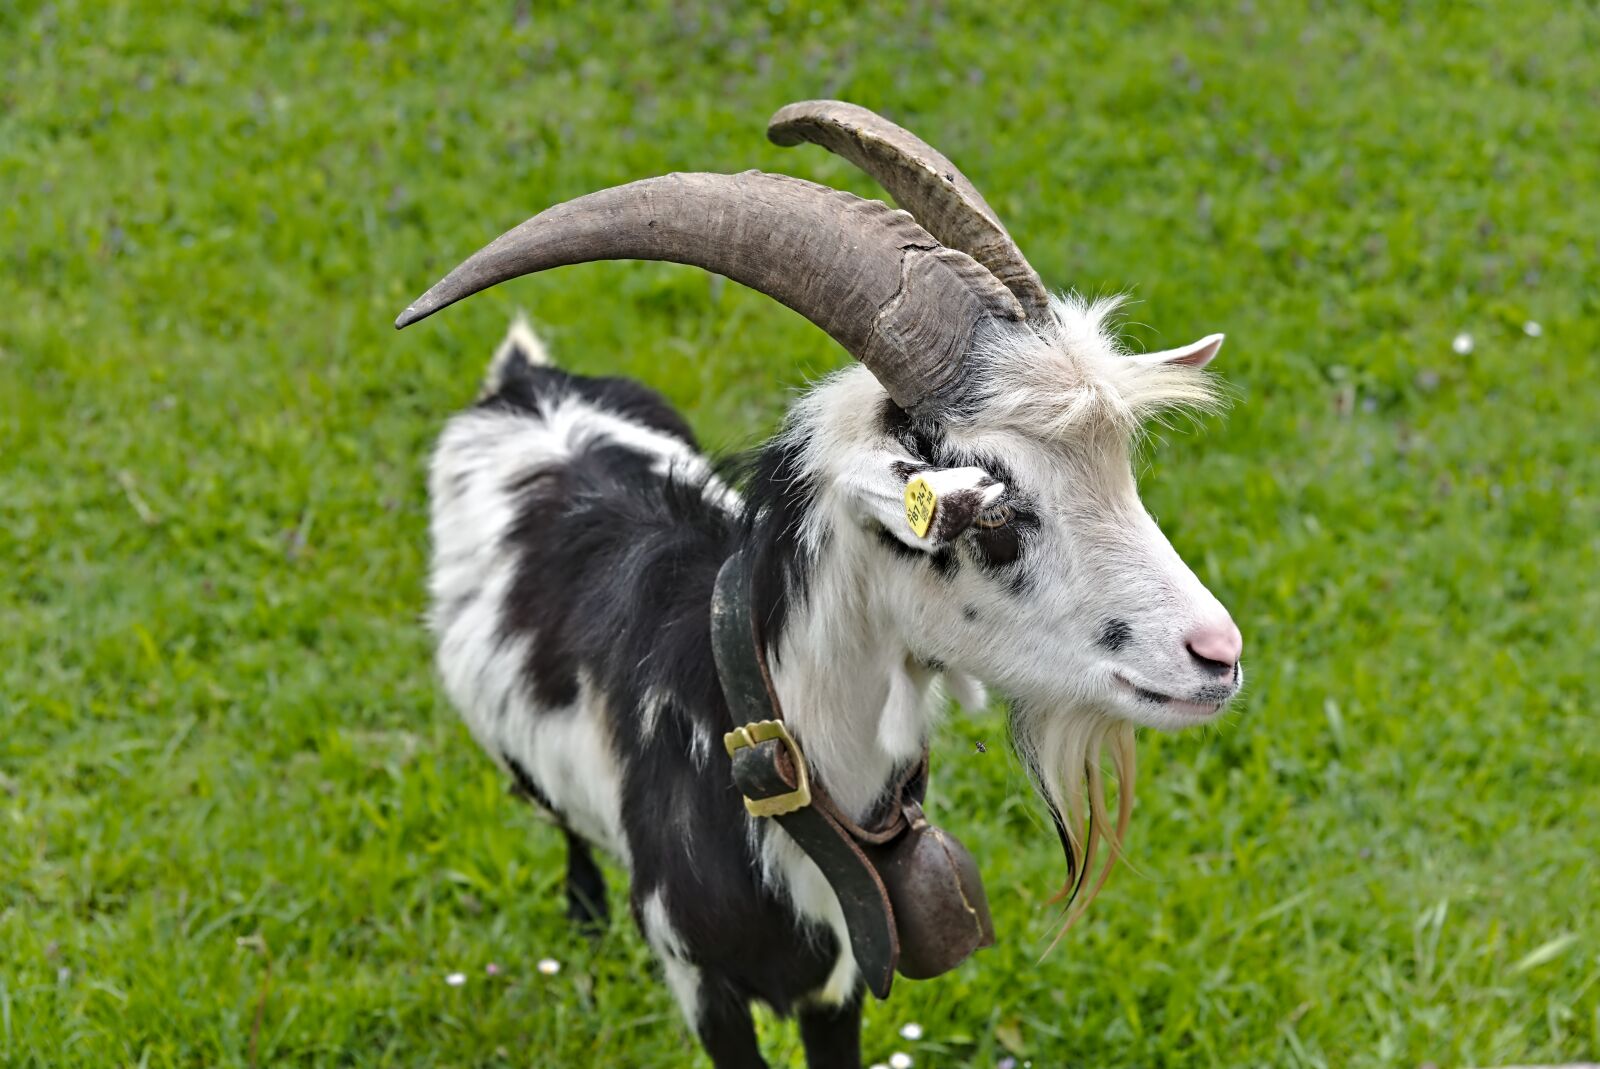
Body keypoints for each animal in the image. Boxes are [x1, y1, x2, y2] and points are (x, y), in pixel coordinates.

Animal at [400, 101, 1244, 1069]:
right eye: (994, 515)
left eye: (1121, 474)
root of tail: (524, 383)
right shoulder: (702, 982)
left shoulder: (842, 977)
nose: (1217, 654)